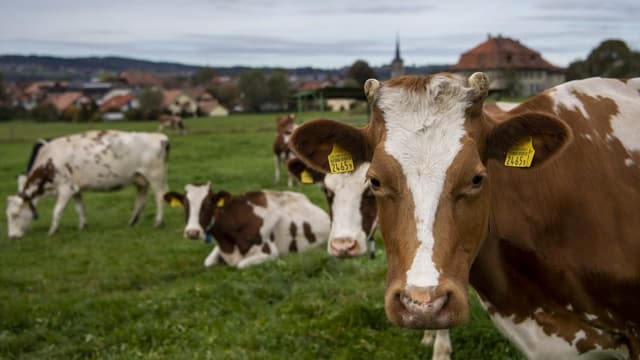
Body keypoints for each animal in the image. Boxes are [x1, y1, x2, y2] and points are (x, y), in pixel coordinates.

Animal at [6, 130, 170, 239]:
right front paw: (82, 227)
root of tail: (159, 136)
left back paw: (158, 222)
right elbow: (80, 209)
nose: (12, 237)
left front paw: (52, 232)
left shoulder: (66, 188)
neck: (49, 161)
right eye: (7, 215)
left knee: (160, 197)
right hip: (140, 179)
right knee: (141, 199)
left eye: (15, 215)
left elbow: (57, 211)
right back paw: (132, 222)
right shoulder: (75, 188)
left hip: (155, 176)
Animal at [162, 183, 330, 268]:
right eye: (185, 204)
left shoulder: (269, 253)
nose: (192, 232)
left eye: (209, 204)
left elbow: (240, 265)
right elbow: (207, 262)